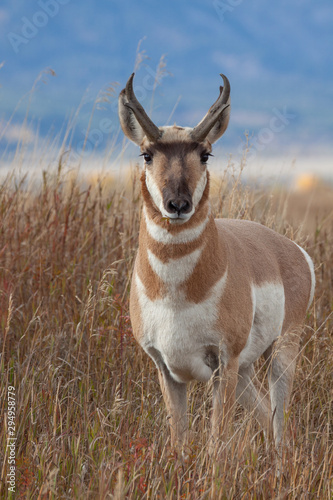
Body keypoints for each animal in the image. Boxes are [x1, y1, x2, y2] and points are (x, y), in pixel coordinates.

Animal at [118, 74, 316, 454]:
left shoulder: (222, 362)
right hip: (245, 371)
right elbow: (179, 441)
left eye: (205, 154)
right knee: (264, 413)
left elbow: (215, 443)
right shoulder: (166, 368)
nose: (178, 204)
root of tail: (292, 249)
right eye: (147, 154)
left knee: (280, 422)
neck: (177, 295)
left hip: (281, 352)